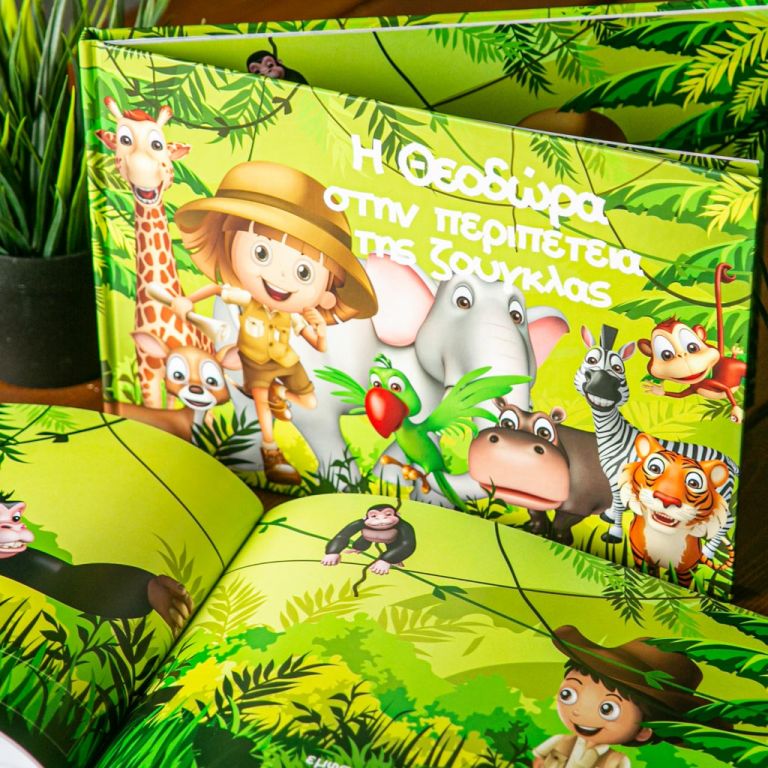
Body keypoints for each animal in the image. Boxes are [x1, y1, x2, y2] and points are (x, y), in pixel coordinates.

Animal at [574, 324, 737, 556]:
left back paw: (706, 553)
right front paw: (609, 515)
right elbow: (616, 502)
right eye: (591, 360)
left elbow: (619, 506)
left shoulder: (620, 477)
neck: (617, 437)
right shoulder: (616, 479)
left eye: (618, 368)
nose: (603, 385)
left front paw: (614, 534)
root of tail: (730, 460)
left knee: (727, 520)